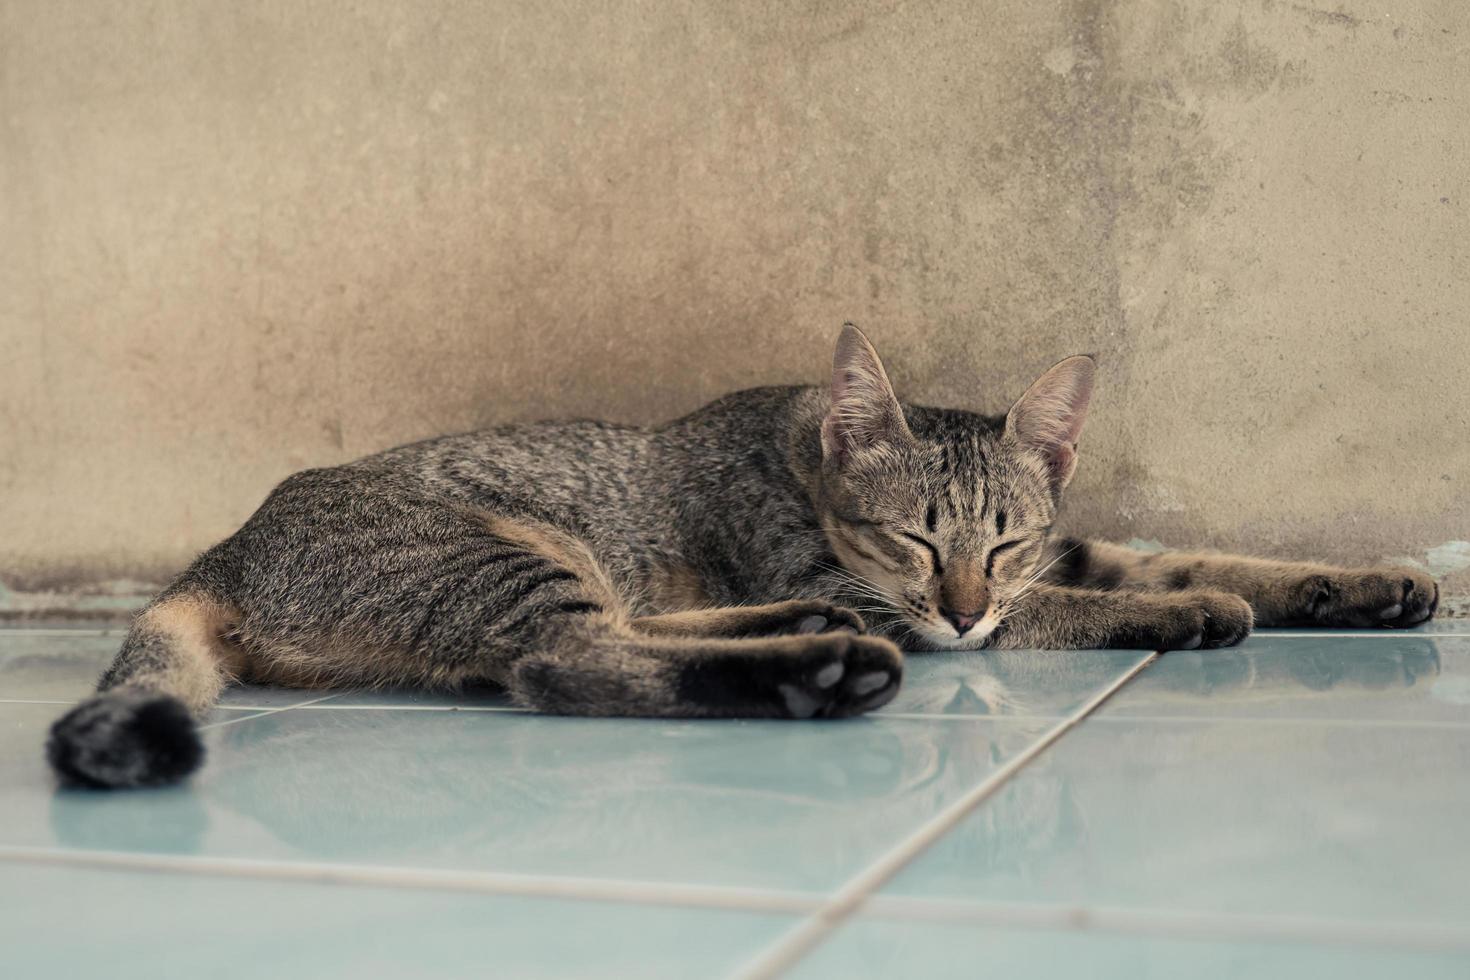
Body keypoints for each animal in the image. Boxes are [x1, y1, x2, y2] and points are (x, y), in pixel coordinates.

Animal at [42, 323, 1434, 787]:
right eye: (914, 538)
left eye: (1005, 537)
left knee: (596, 635)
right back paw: (814, 670)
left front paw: (1361, 582)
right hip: (502, 551)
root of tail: (223, 549)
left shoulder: (1050, 555)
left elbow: (1174, 551)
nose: (961, 604)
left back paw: (809, 651)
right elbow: (1092, 605)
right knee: (563, 660)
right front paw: (1191, 610)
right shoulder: (875, 585)